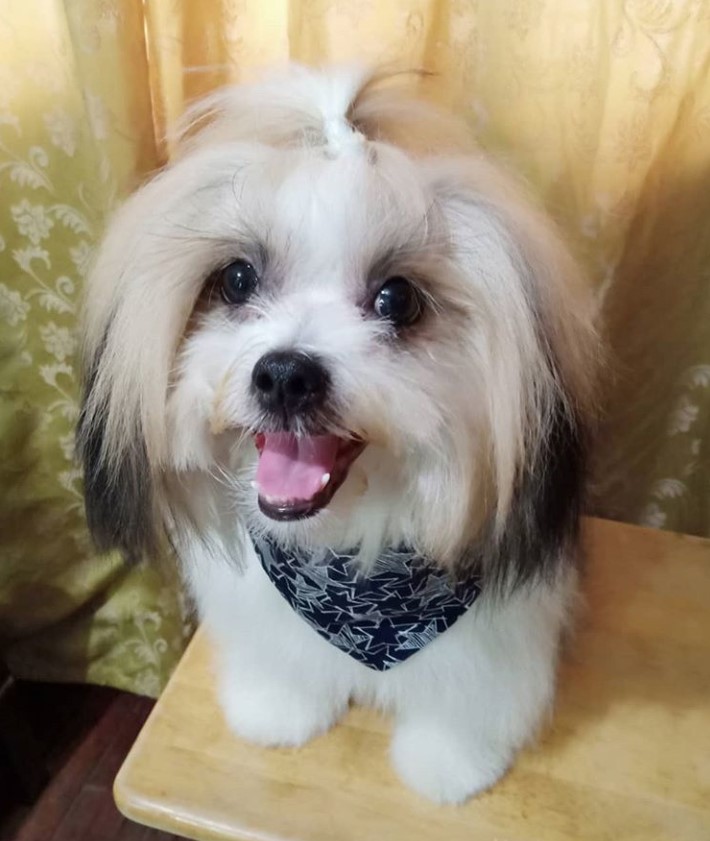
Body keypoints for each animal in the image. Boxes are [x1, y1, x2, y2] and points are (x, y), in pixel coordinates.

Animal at [79, 64, 600, 800]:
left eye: (398, 298)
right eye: (236, 278)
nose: (285, 375)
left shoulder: (493, 649)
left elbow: (467, 703)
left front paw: (450, 764)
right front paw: (279, 709)